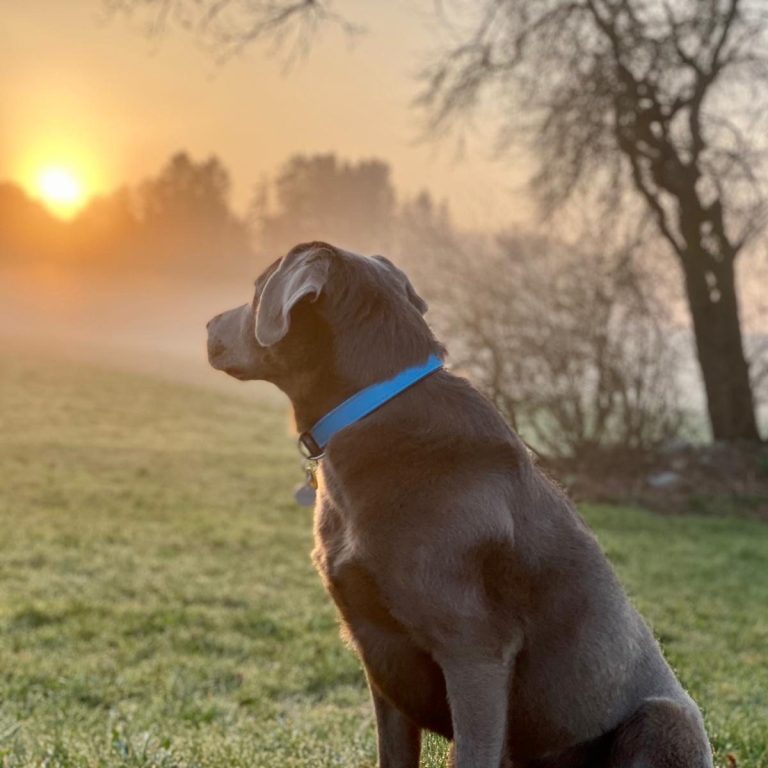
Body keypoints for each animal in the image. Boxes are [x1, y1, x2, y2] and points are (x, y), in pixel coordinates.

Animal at [207, 243, 712, 768]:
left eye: (257, 289)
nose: (207, 326)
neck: (372, 407)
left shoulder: (475, 652)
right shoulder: (380, 656)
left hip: (663, 718)